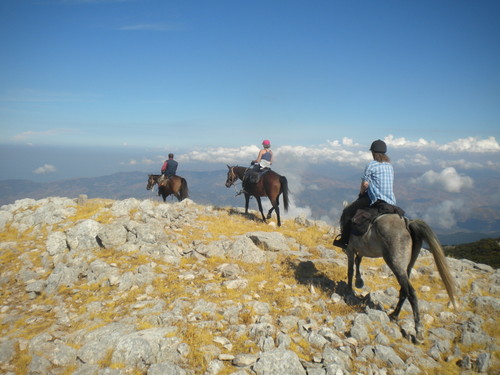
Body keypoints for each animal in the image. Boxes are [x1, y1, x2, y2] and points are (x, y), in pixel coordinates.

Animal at [342, 212, 456, 344]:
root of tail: (408, 223)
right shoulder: (360, 250)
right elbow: (358, 261)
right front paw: (359, 281)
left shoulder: (350, 248)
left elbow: (350, 269)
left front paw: (349, 290)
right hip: (407, 267)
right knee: (403, 290)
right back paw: (394, 315)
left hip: (396, 264)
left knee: (411, 293)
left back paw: (418, 331)